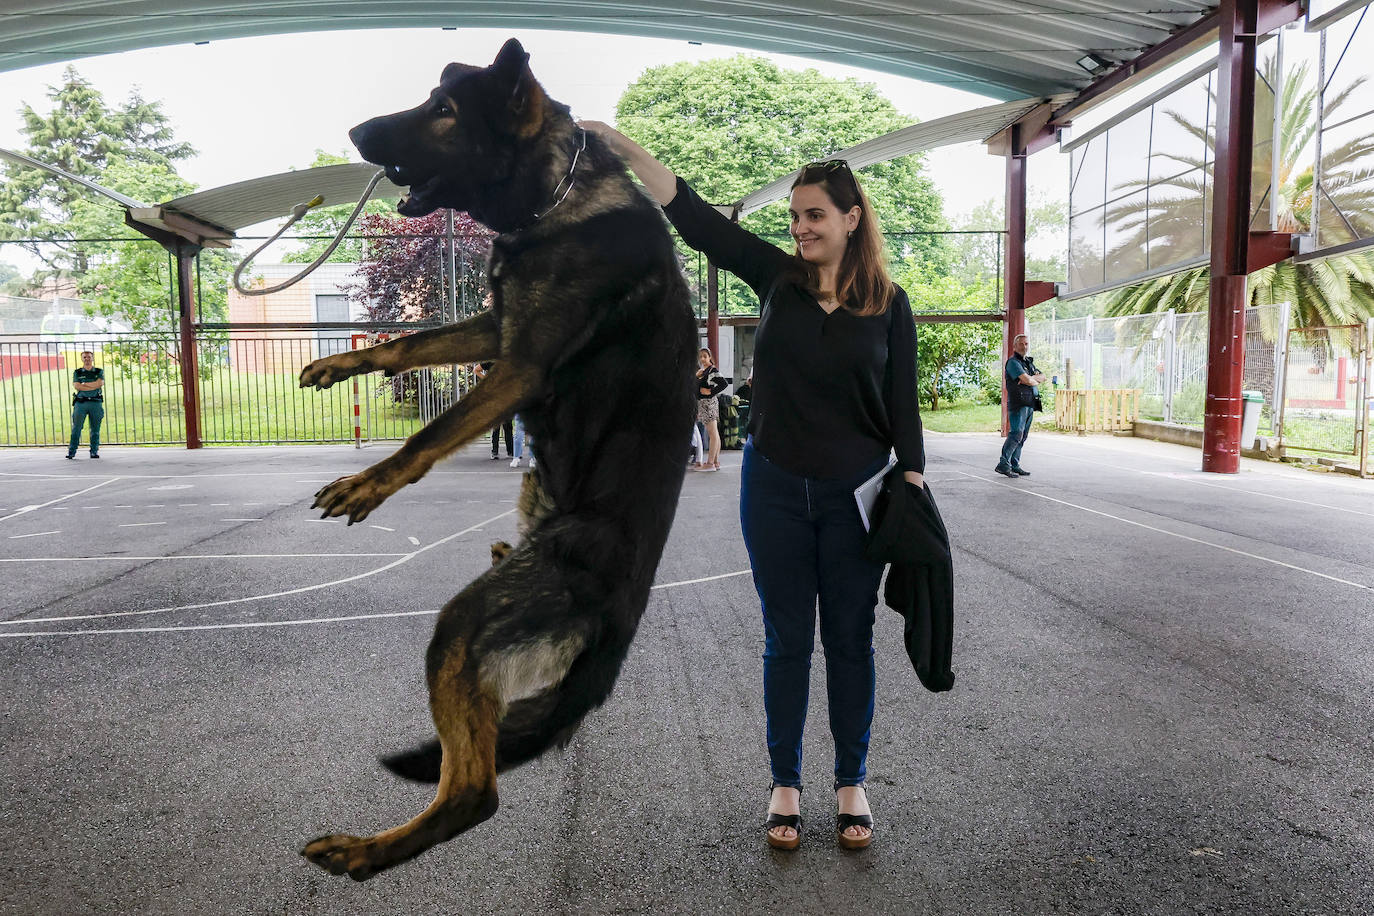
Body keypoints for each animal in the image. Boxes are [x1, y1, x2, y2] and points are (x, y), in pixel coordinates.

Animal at [295, 41, 692, 878]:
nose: (355, 133)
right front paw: (342, 365)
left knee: (475, 794)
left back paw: (366, 853)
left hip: (463, 632)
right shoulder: (492, 330)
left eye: (445, 110)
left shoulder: (520, 367)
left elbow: (429, 436)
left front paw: (369, 483)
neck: (552, 203)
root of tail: (620, 625)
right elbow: (411, 341)